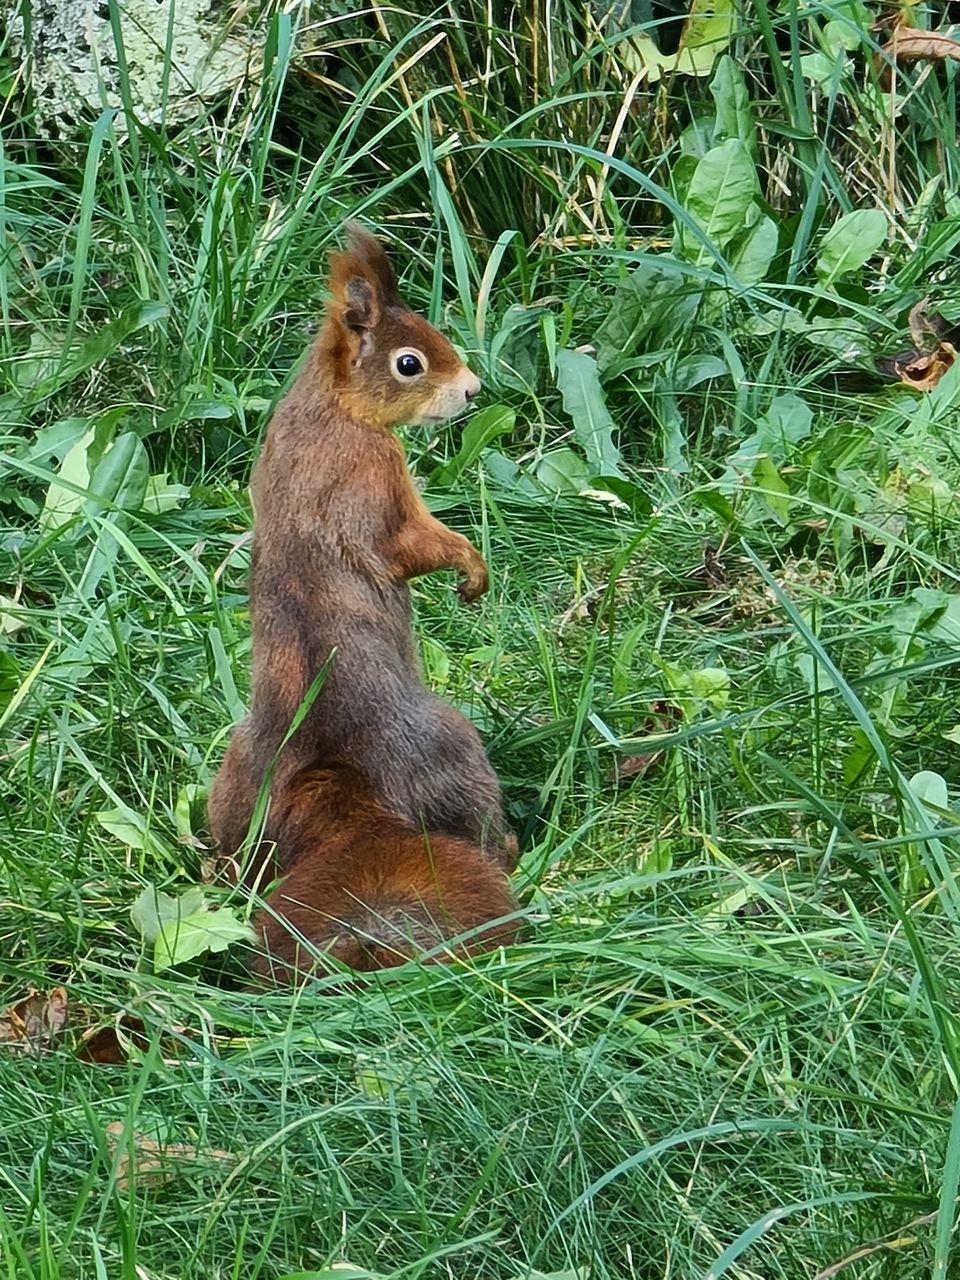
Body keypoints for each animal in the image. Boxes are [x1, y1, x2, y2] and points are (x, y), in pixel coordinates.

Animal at [208, 225, 519, 972]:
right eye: (410, 363)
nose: (473, 391)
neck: (332, 409)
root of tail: (340, 784)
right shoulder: (373, 481)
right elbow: (413, 543)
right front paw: (471, 569)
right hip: (455, 752)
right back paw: (512, 845)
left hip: (235, 785)